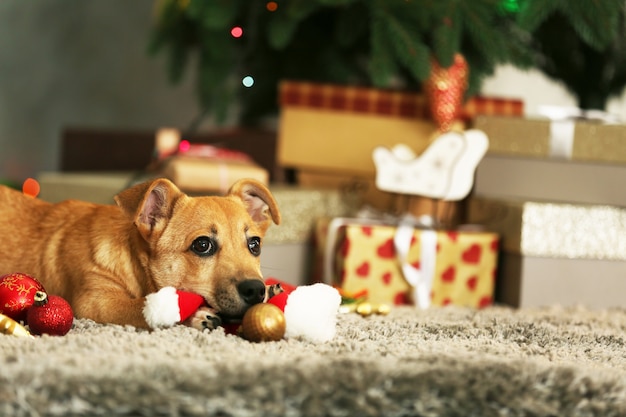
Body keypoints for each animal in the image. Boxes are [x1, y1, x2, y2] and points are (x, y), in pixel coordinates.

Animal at [0, 177, 280, 330]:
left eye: (255, 245)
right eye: (202, 245)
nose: (256, 290)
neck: (133, 260)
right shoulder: (95, 300)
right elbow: (143, 307)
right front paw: (192, 315)